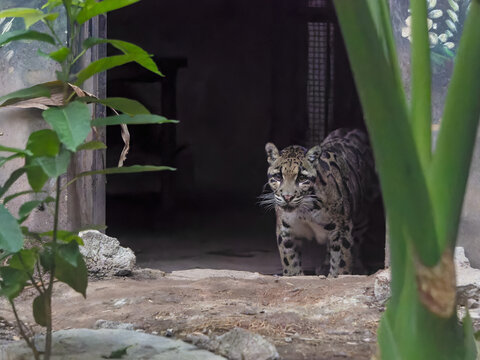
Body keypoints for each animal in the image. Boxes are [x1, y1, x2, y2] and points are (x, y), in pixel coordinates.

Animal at [262, 128, 378, 278]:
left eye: (302, 178)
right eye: (277, 176)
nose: (287, 197)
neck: (304, 210)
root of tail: (351, 129)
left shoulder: (342, 229)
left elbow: (342, 261)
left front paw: (339, 276)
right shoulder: (286, 231)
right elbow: (290, 262)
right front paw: (294, 275)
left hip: (361, 215)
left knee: (357, 239)